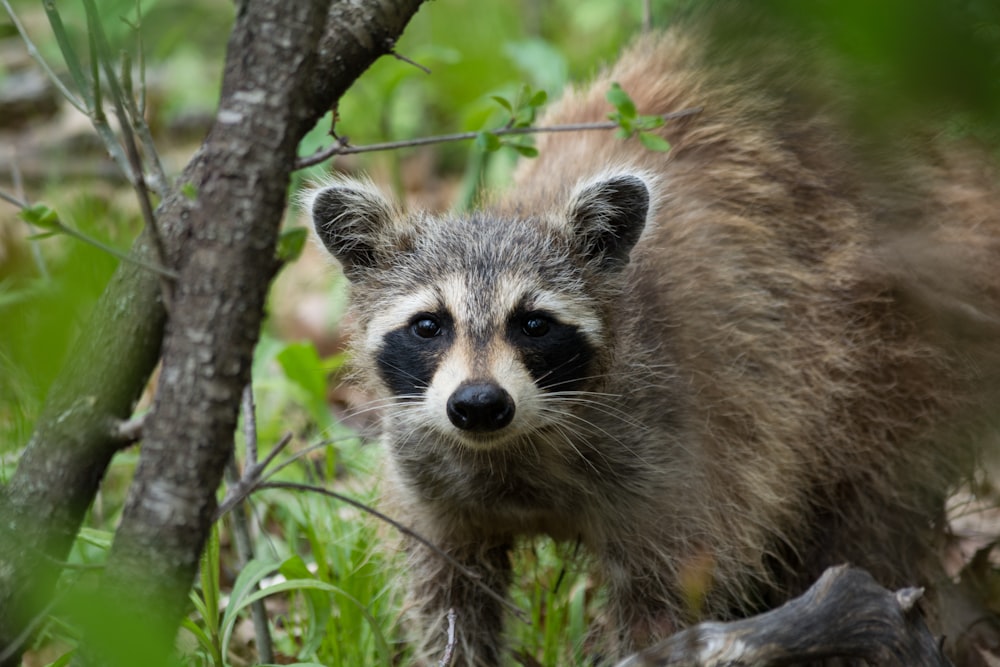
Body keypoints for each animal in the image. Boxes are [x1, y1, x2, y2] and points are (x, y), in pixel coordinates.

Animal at [304, 23, 1000, 664]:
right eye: (430, 325)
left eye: (533, 323)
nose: (479, 404)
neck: (514, 452)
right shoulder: (435, 486)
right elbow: (447, 601)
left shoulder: (682, 455)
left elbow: (667, 603)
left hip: (897, 350)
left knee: (866, 517)